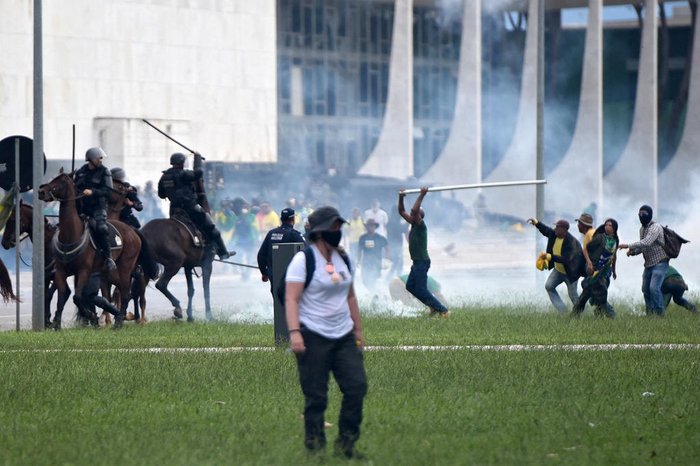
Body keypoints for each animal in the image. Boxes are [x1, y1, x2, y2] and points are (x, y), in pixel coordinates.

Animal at [38, 172, 144, 332]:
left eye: (61, 182)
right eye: (54, 179)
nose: (41, 191)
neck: (71, 234)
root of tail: (133, 233)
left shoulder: (84, 271)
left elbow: (77, 297)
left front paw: (91, 316)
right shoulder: (61, 272)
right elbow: (63, 295)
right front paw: (57, 323)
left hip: (125, 268)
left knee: (126, 294)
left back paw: (119, 321)